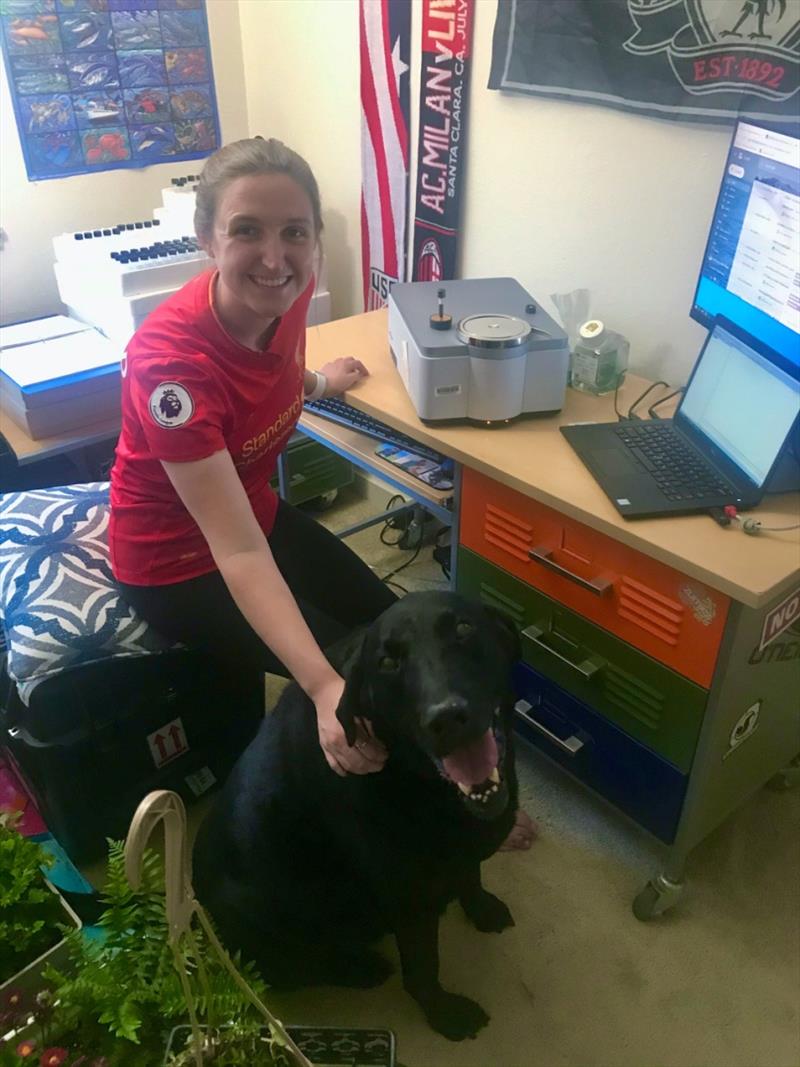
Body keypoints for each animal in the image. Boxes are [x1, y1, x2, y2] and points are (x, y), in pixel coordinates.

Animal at [192, 593, 522, 1041]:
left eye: (463, 628)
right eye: (387, 662)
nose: (446, 718)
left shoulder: (459, 855)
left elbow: (471, 875)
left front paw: (482, 908)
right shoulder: (409, 900)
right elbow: (422, 969)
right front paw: (444, 1014)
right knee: (295, 969)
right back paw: (360, 967)